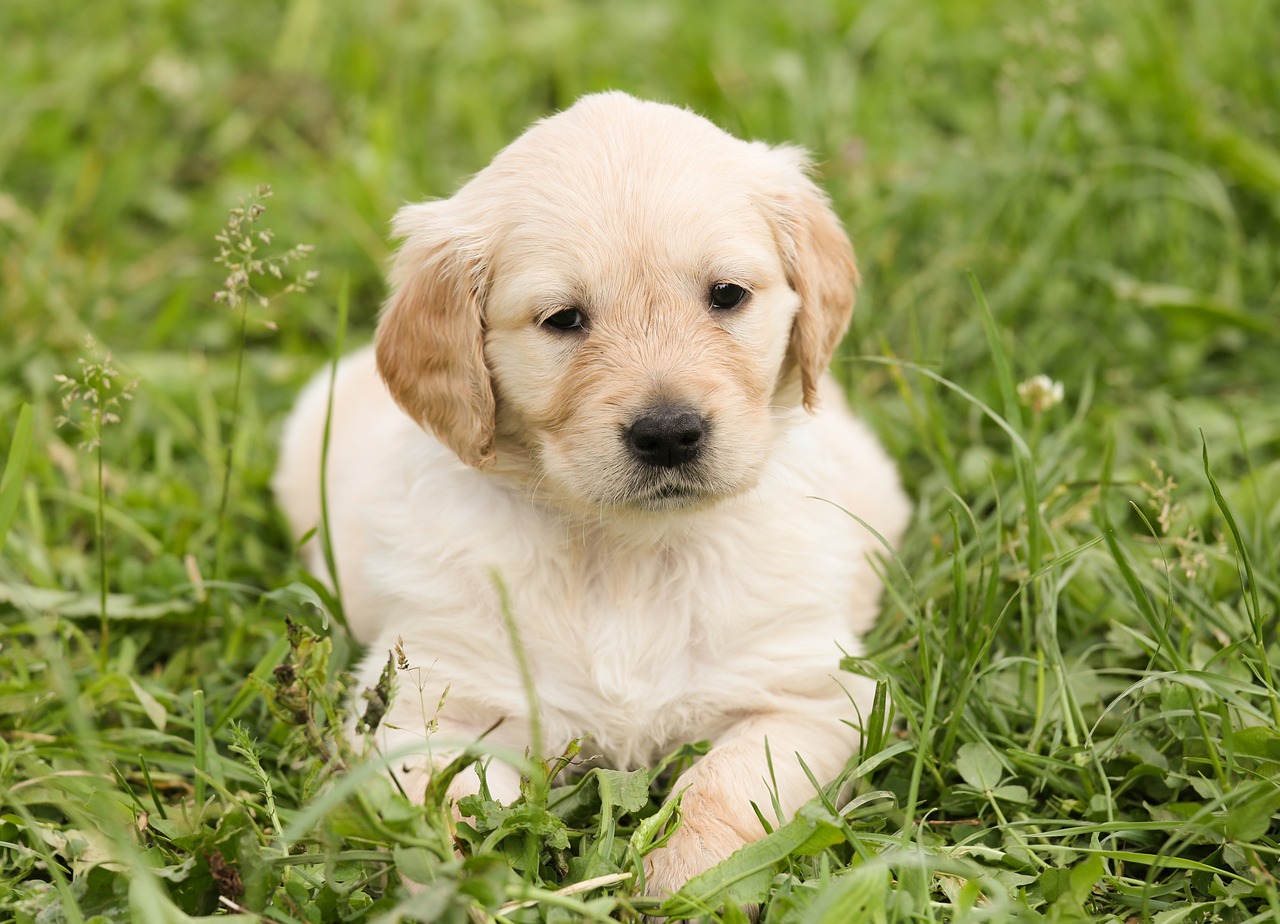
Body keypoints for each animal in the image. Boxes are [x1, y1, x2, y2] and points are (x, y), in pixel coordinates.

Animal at [273, 93, 911, 900]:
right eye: (563, 319)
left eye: (727, 295)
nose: (669, 434)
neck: (626, 553)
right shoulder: (427, 706)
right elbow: (451, 806)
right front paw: (474, 887)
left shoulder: (811, 696)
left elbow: (727, 782)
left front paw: (687, 877)